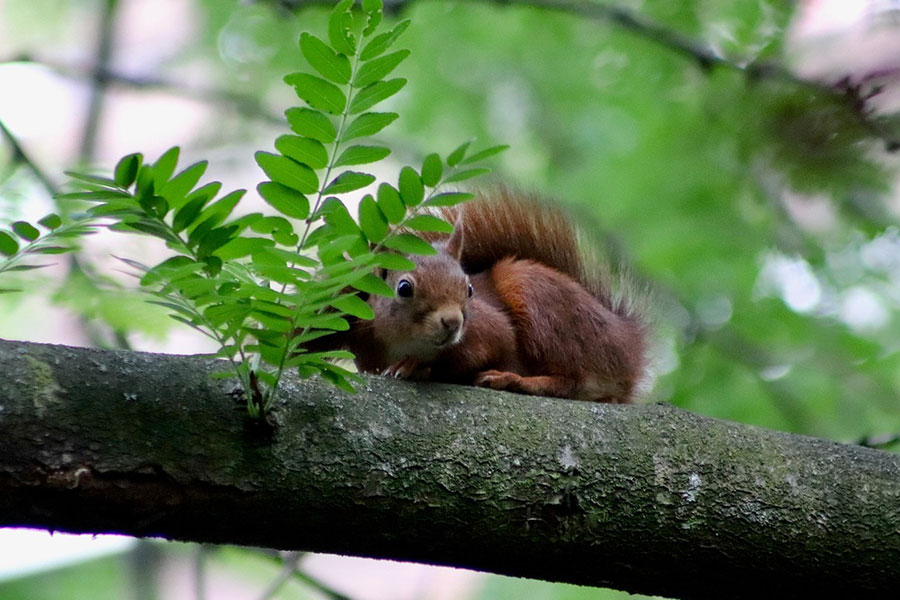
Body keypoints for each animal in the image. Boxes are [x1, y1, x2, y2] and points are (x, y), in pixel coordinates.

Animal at [317, 188, 647, 403]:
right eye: (404, 288)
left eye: (469, 289)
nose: (453, 322)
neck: (410, 341)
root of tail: (629, 341)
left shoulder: (490, 330)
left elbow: (480, 352)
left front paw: (416, 367)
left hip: (536, 293)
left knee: (572, 381)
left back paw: (514, 381)